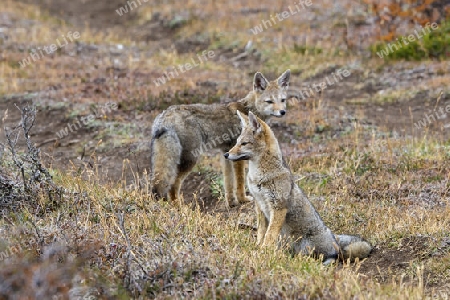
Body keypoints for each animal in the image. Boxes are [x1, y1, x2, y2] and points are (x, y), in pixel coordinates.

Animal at [151, 69, 290, 206]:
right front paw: (242, 199)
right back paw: (178, 207)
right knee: (173, 184)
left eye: (282, 100)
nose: (283, 112)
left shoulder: (226, 153)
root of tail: (166, 115)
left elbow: (228, 181)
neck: (247, 109)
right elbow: (240, 180)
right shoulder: (237, 155)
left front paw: (231, 202)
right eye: (269, 101)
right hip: (191, 159)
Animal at [225, 111, 372, 264]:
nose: (226, 154)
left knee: (330, 257)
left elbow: (269, 235)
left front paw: (263, 251)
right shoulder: (260, 205)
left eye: (244, 143)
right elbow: (261, 232)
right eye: (236, 142)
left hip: (308, 246)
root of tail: (335, 241)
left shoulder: (278, 207)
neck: (258, 177)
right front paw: (258, 247)